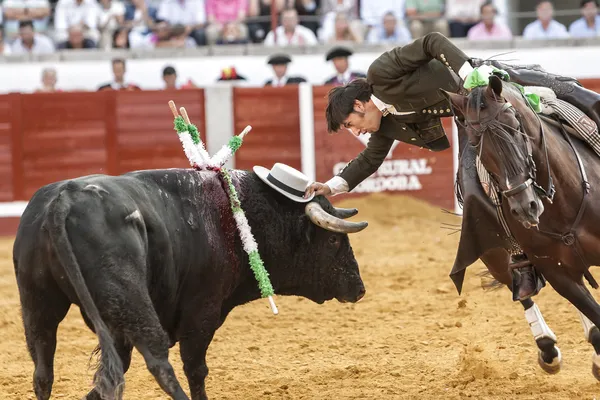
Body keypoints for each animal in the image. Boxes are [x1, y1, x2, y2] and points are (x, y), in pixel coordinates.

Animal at [11, 167, 366, 398]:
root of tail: (63, 200)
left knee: (43, 370)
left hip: (38, 305)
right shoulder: (201, 315)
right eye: (334, 241)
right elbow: (196, 369)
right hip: (131, 302)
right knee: (158, 362)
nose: (360, 289)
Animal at [446, 75, 600, 382]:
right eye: (476, 142)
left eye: (515, 127)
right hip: (495, 256)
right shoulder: (559, 274)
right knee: (521, 291)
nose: (524, 207)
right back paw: (549, 348)